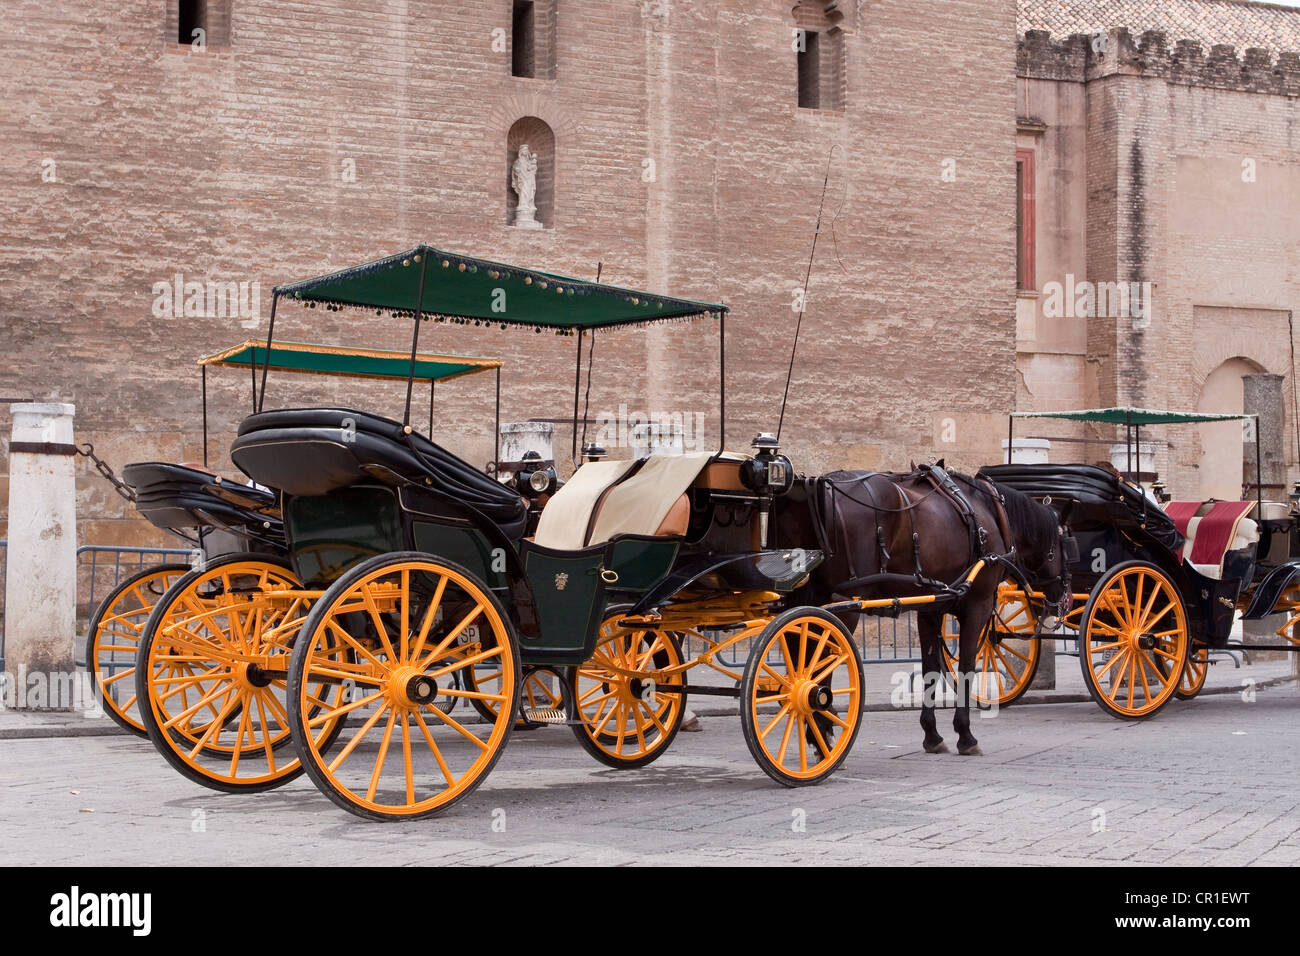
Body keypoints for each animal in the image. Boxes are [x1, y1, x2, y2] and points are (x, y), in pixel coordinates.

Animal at [774, 468, 1071, 759]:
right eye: (1068, 543)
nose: (1063, 600)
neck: (989, 511)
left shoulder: (931, 609)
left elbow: (931, 669)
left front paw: (932, 735)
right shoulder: (979, 604)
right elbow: (965, 667)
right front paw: (965, 735)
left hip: (803, 598)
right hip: (843, 605)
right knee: (818, 667)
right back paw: (821, 730)